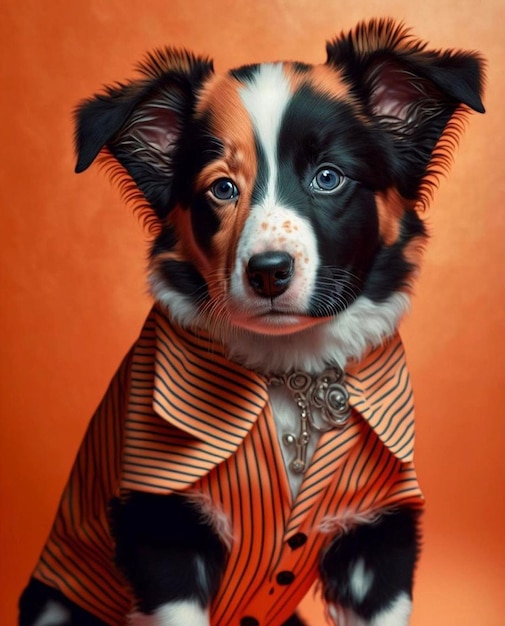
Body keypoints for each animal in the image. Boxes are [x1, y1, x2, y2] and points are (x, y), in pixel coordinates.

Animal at [20, 17, 484, 620]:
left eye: (328, 177)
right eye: (222, 188)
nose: (268, 272)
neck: (291, 373)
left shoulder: (380, 535)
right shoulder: (162, 525)